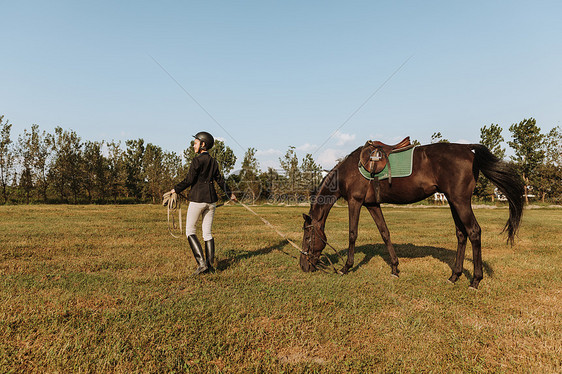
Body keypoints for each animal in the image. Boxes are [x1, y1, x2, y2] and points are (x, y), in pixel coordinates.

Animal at [300, 141, 524, 290]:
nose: (303, 266)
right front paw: (395, 268)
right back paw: (454, 276)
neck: (350, 170)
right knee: (462, 234)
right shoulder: (372, 204)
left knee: (474, 232)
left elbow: (352, 234)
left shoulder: (355, 202)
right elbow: (385, 233)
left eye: (308, 236)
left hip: (460, 201)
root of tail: (467, 149)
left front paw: (345, 268)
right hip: (454, 201)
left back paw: (475, 280)